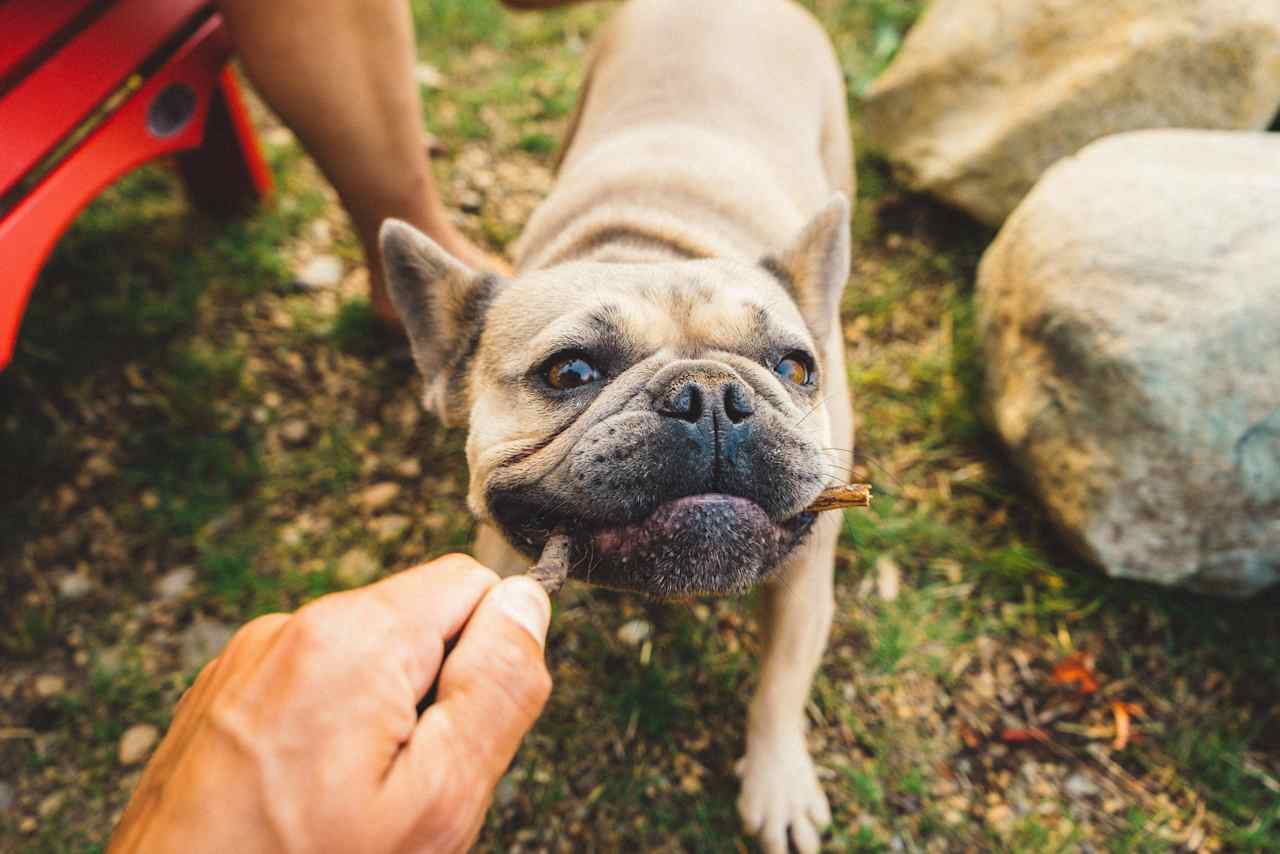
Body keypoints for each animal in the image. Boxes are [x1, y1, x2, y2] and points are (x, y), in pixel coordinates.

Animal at [384, 3, 855, 850]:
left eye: (796, 367)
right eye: (569, 373)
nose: (711, 396)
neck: (650, 246)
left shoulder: (808, 576)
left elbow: (782, 679)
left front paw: (777, 779)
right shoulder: (503, 554)